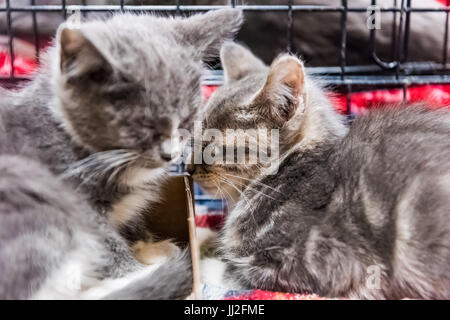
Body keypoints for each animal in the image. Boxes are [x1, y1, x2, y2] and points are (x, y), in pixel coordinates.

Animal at [0, 10, 243, 300]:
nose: (170, 154)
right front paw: (138, 270)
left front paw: (148, 246)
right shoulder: (75, 196)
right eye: (143, 125)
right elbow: (104, 241)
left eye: (187, 119)